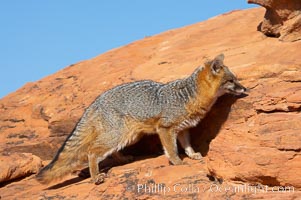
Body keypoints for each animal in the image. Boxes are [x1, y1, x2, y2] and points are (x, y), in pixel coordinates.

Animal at [36, 53, 246, 184]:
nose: (245, 89)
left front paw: (193, 155)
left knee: (109, 152)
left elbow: (187, 145)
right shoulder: (165, 128)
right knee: (92, 152)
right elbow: (172, 149)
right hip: (117, 136)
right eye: (232, 81)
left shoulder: (183, 129)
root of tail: (95, 102)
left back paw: (123, 159)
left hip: (129, 137)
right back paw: (95, 177)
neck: (188, 95)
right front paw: (177, 162)